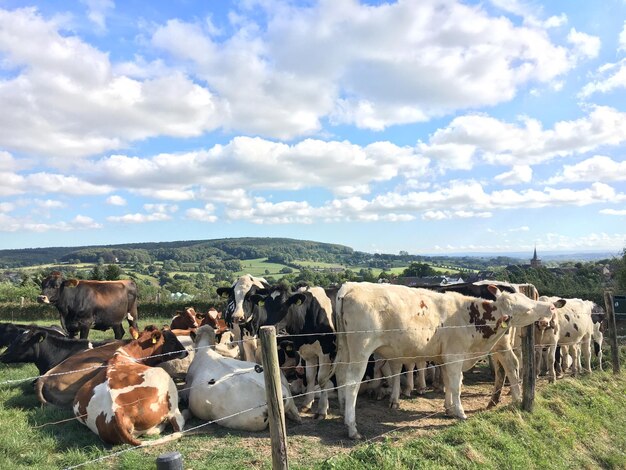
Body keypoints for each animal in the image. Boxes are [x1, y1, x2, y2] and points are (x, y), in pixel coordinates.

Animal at [332, 280, 564, 438]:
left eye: (526, 299)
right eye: (526, 308)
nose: (551, 307)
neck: (470, 316)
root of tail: (350, 286)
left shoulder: (445, 356)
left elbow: (450, 383)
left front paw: (449, 409)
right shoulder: (455, 355)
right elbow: (455, 384)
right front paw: (460, 413)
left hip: (344, 350)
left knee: (341, 376)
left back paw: (343, 414)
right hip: (361, 352)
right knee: (352, 383)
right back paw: (352, 427)